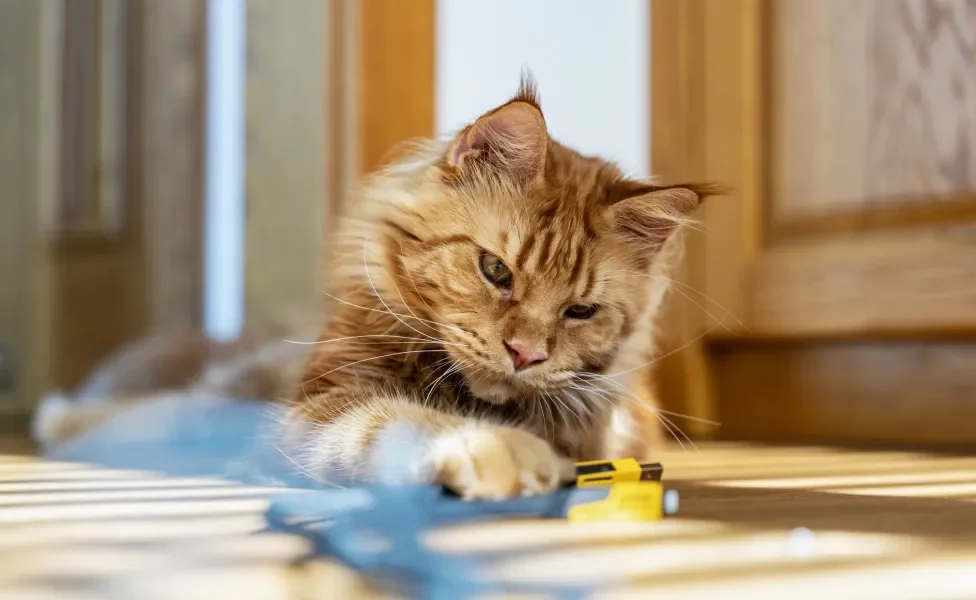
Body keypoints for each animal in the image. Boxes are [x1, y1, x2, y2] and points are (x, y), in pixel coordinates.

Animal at [284, 77, 724, 502]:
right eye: (495, 269)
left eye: (581, 311)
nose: (525, 354)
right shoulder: (324, 398)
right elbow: (392, 419)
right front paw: (492, 446)